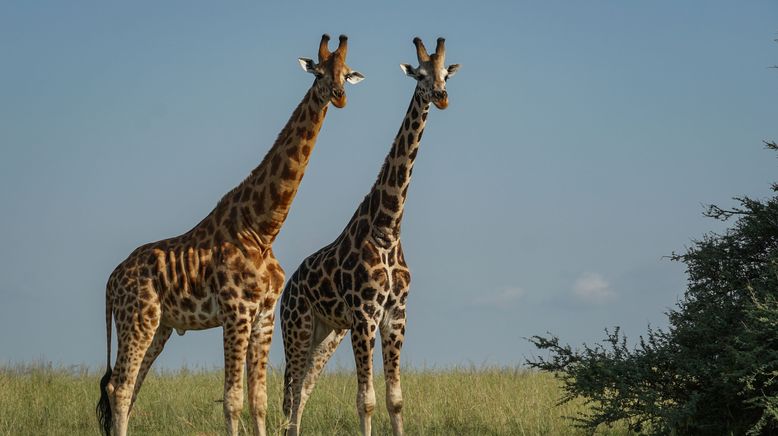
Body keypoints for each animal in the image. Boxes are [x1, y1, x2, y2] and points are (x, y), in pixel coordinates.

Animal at [94, 34, 364, 436]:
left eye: (346, 74)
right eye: (318, 72)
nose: (339, 95)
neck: (262, 229)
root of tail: (111, 281)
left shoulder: (263, 316)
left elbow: (259, 400)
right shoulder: (236, 312)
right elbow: (233, 399)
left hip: (159, 326)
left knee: (129, 384)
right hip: (137, 318)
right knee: (120, 386)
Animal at [278, 37, 458, 436]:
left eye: (444, 73)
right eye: (419, 75)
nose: (441, 96)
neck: (388, 227)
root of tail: (289, 286)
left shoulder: (396, 315)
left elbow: (395, 399)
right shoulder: (364, 315)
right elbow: (366, 400)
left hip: (326, 333)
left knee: (303, 391)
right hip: (296, 327)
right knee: (290, 392)